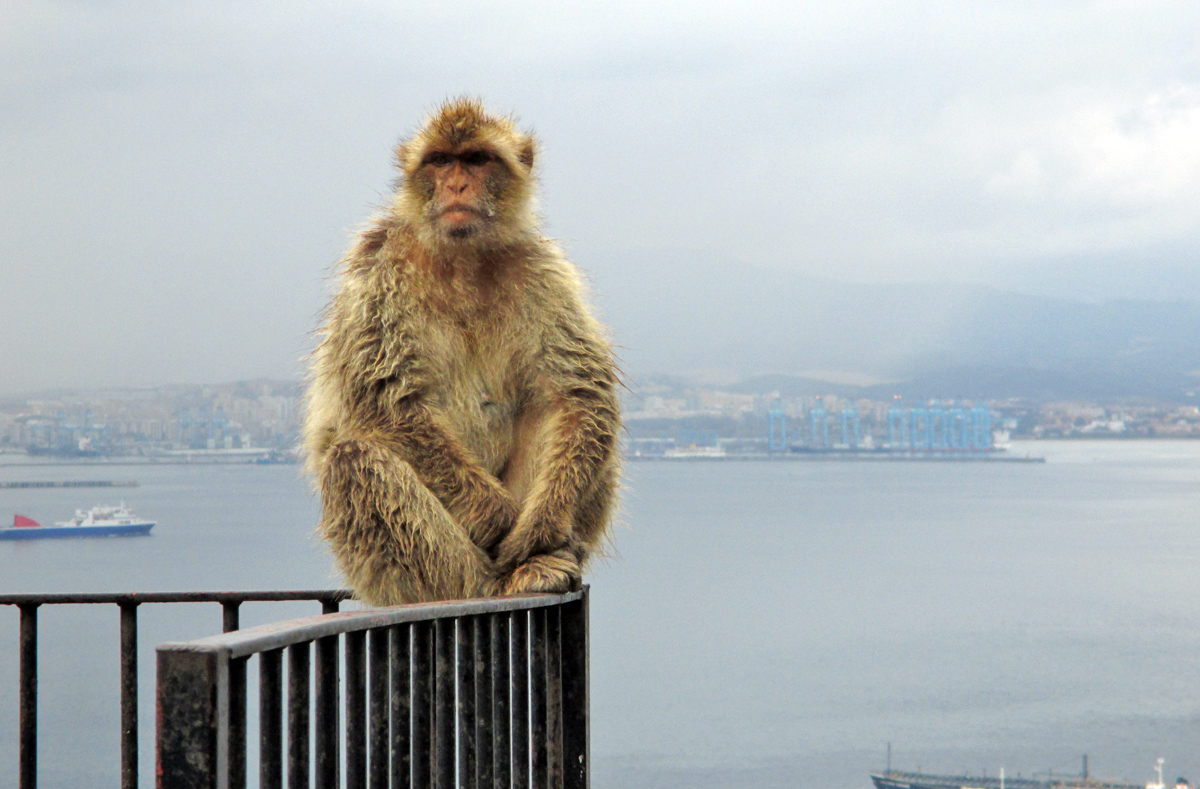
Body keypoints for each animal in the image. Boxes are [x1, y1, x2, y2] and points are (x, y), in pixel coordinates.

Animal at [302, 96, 619, 601]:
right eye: (440, 161)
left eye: (476, 159)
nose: (456, 184)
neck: (462, 259)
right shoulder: (379, 268)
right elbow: (388, 401)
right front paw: (499, 519)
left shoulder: (542, 270)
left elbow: (580, 393)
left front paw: (539, 528)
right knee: (355, 462)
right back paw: (497, 583)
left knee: (560, 410)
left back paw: (542, 556)